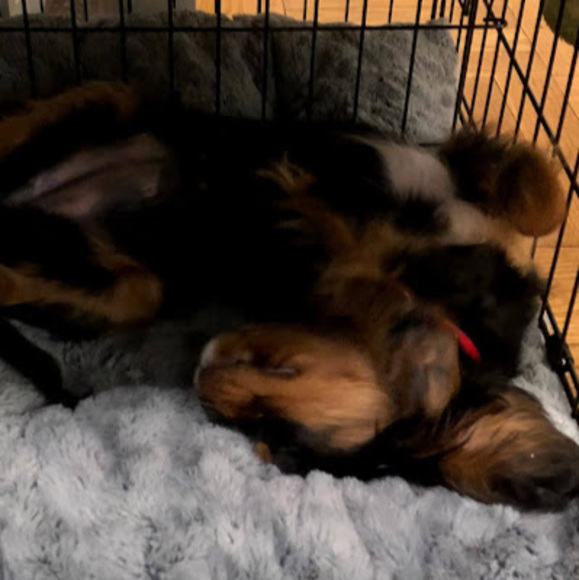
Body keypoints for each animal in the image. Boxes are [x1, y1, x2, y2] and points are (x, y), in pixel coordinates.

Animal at [0, 83, 576, 511]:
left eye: (269, 437)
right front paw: (417, 350)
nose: (201, 378)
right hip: (109, 99)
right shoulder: (357, 167)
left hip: (121, 281)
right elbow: (540, 193)